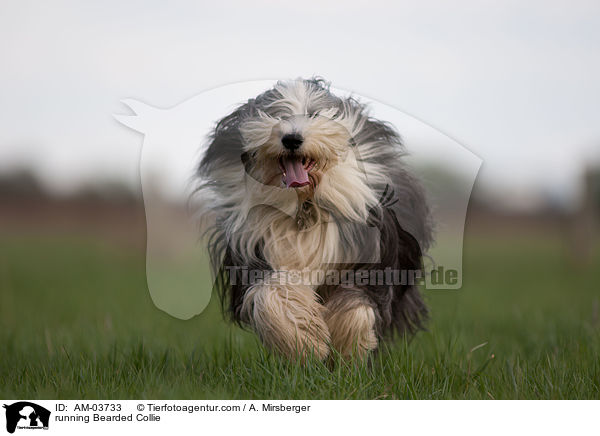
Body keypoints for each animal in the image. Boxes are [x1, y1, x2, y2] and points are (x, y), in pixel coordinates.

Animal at [196, 78, 432, 362]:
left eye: (313, 114)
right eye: (278, 115)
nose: (291, 138)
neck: (304, 204)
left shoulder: (369, 255)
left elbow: (355, 304)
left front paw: (346, 348)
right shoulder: (255, 250)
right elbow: (272, 295)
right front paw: (306, 342)